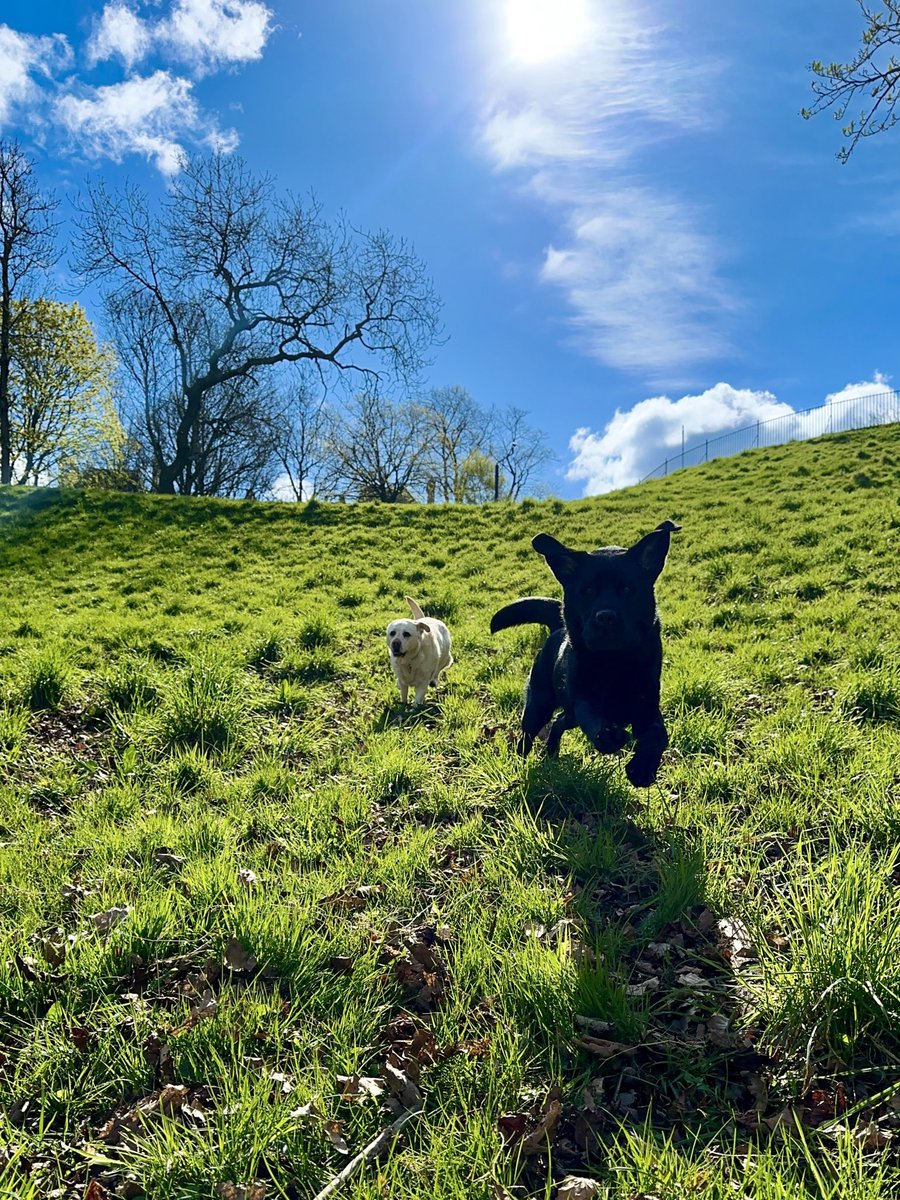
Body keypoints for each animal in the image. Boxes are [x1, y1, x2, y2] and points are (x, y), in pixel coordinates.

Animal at [494, 518, 681, 787]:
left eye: (628, 589)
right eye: (588, 590)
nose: (606, 617)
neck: (615, 662)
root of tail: (557, 626)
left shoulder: (647, 704)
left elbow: (658, 734)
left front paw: (642, 768)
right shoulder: (583, 697)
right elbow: (594, 716)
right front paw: (610, 736)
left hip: (567, 714)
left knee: (559, 722)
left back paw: (552, 753)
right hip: (539, 704)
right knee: (528, 733)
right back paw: (520, 761)